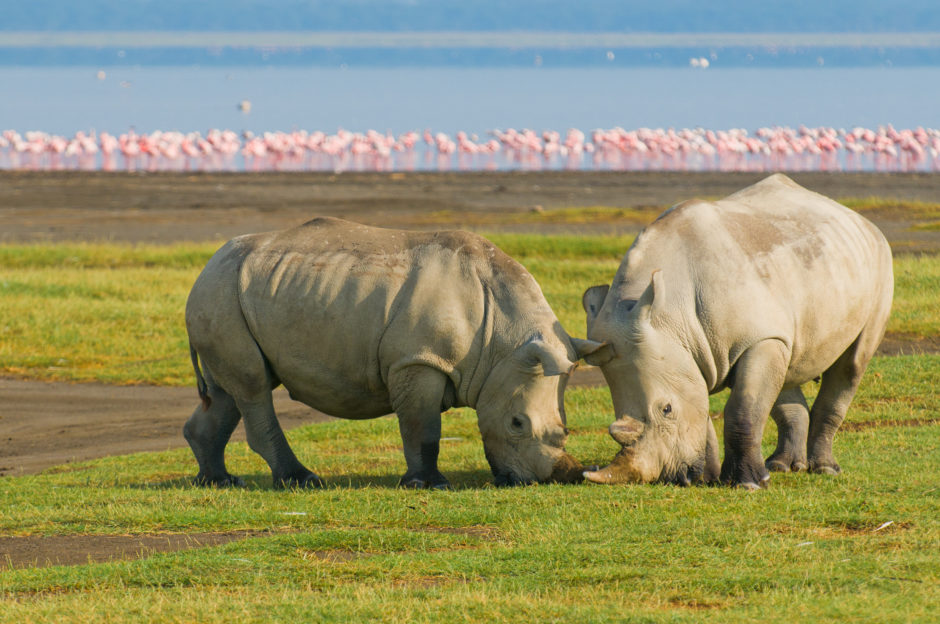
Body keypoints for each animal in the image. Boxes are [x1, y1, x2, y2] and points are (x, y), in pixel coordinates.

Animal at [184, 217, 601, 489]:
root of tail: (207, 265)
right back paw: (301, 481)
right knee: (252, 386)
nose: (549, 479)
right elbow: (423, 426)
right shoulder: (418, 359)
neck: (504, 341)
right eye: (517, 423)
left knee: (229, 391)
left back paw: (219, 481)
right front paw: (427, 485)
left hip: (233, 293)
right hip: (221, 291)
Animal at [581, 174, 893, 489]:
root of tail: (858, 218)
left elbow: (743, 408)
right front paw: (709, 477)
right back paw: (782, 466)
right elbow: (703, 407)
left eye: (666, 409)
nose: (675, 478)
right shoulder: (689, 353)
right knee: (787, 367)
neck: (669, 314)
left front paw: (747, 484)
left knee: (851, 365)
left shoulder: (756, 339)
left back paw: (824, 469)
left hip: (880, 261)